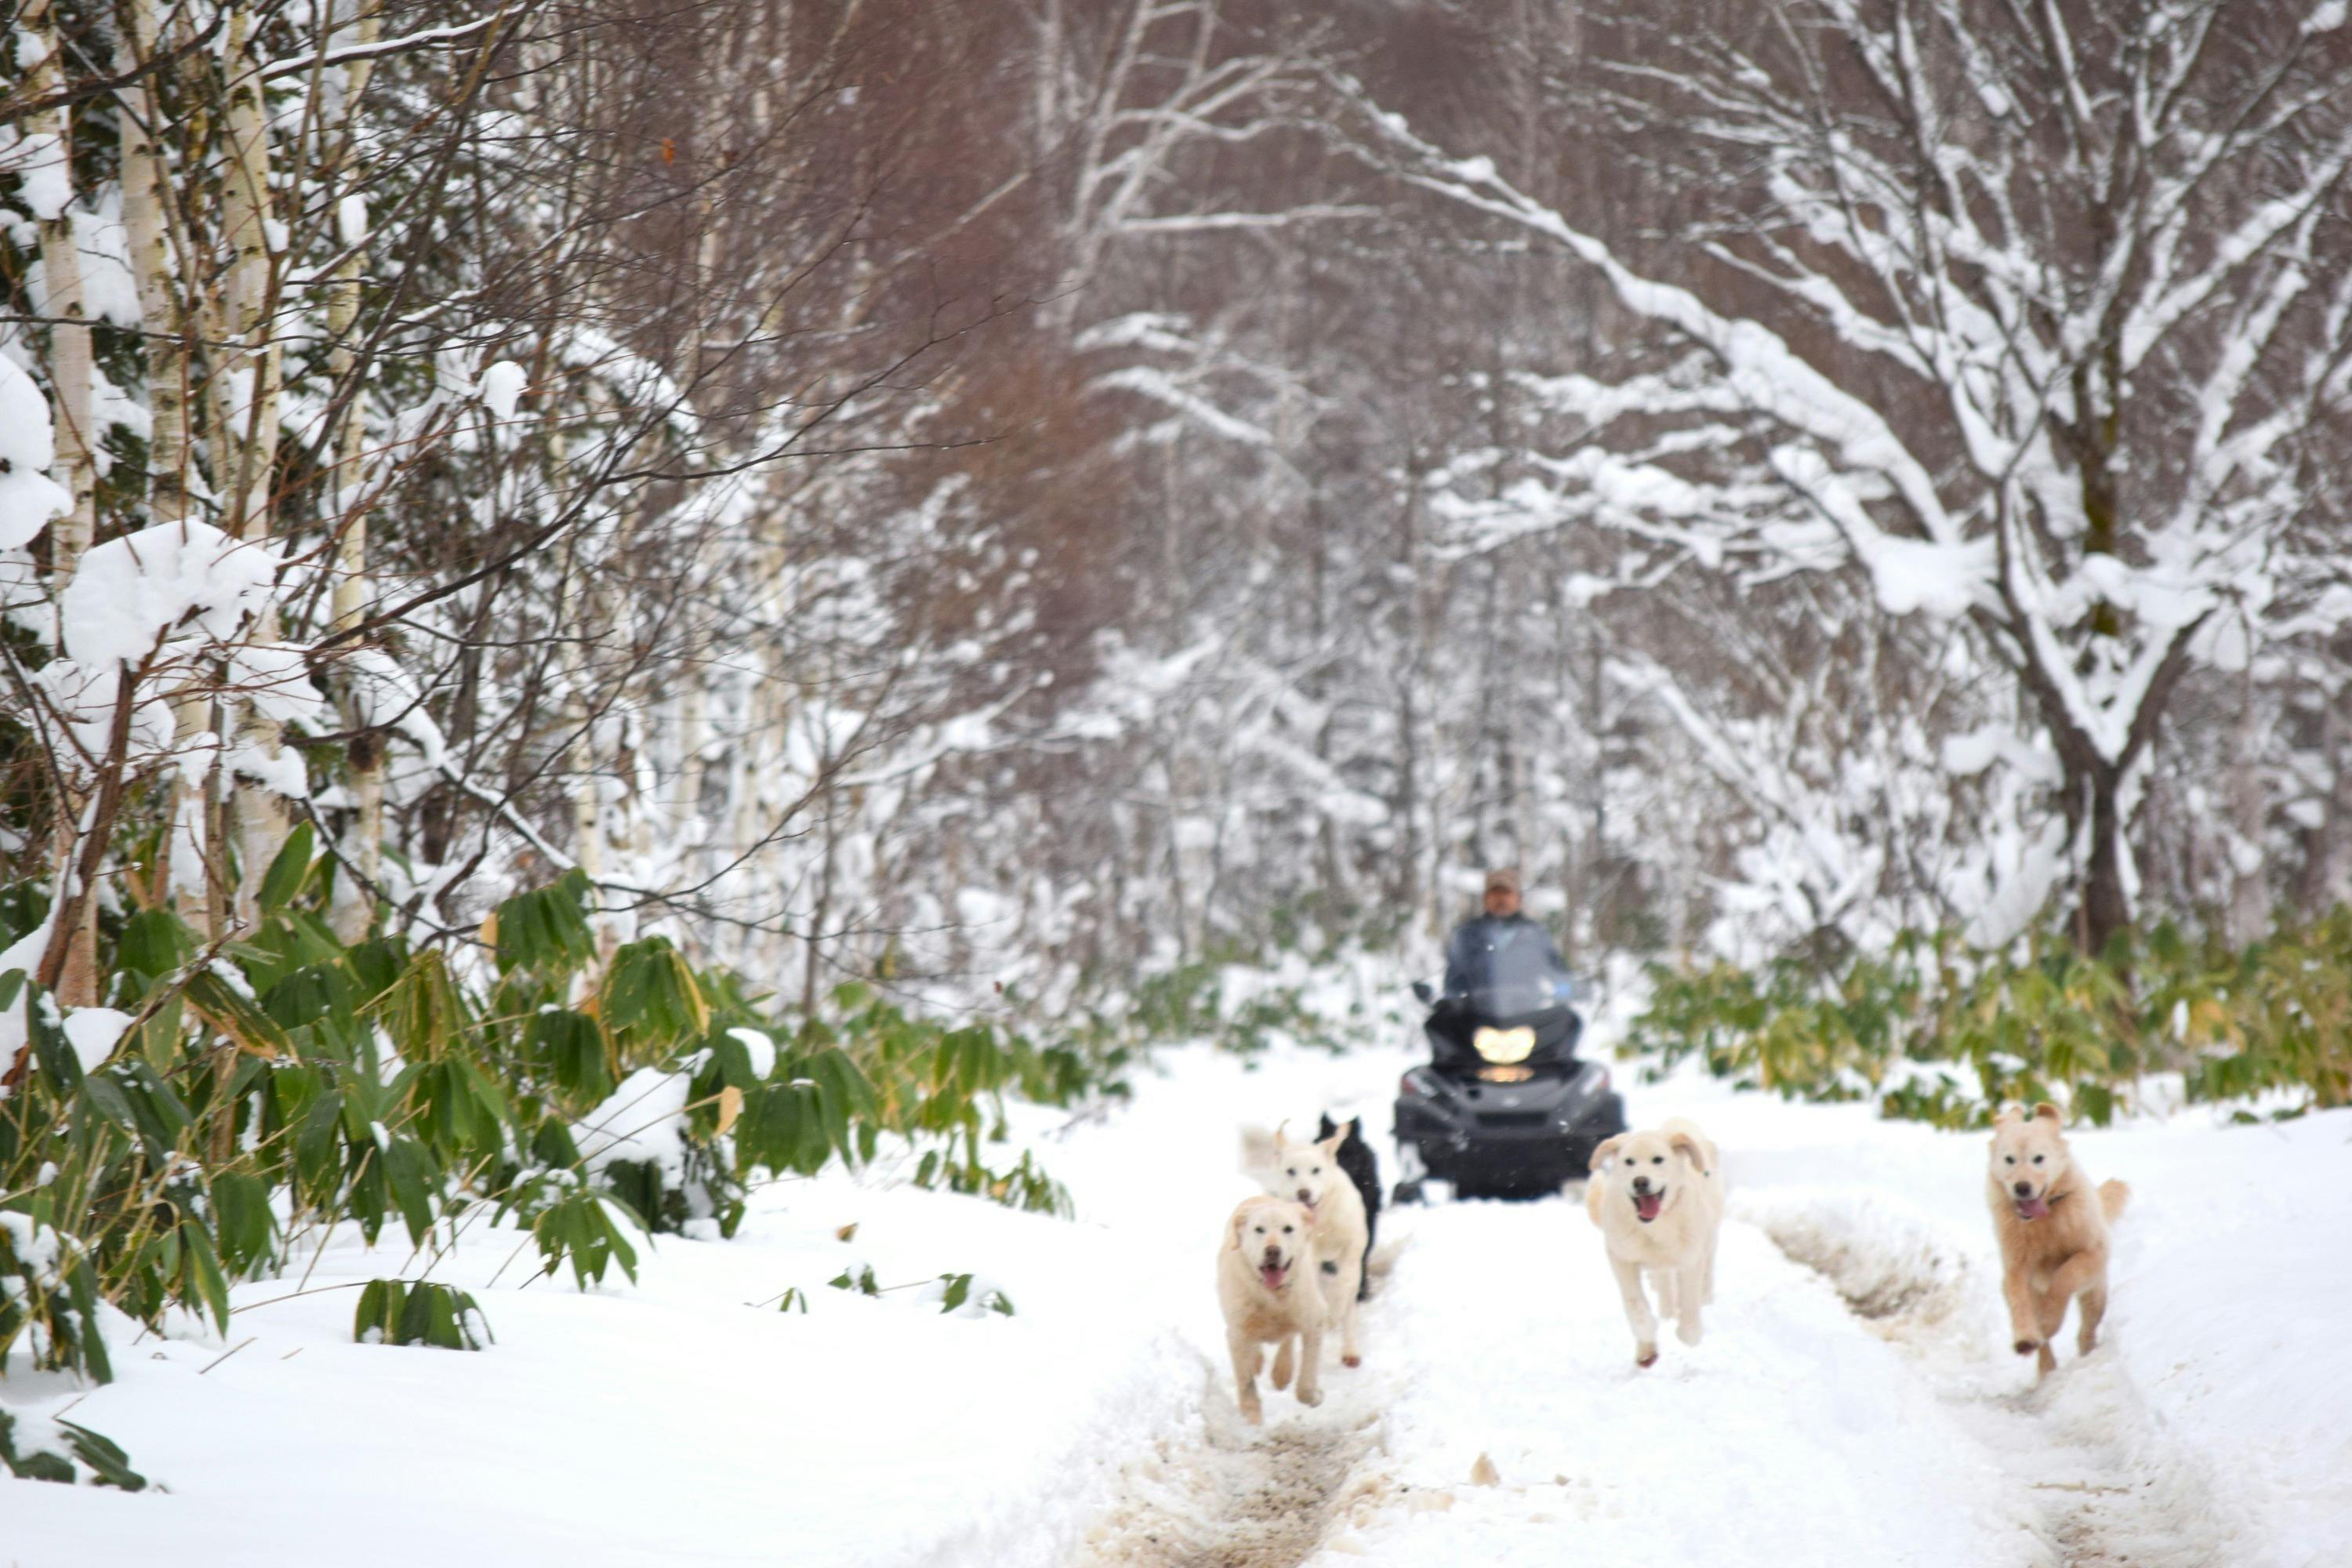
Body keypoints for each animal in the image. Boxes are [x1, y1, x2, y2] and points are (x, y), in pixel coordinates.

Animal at [1223, 1194, 1336, 1429]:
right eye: (1259, 1229)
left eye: (1288, 1229)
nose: (1272, 1251)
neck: (1273, 1296)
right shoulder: (1237, 1334)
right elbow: (1246, 1384)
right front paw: (1252, 1420)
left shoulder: (1315, 1320)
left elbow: (1306, 1381)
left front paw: (1315, 1396)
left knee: (1287, 1340)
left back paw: (1282, 1373)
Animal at [1581, 1123, 1731, 1363]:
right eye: (1629, 1161)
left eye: (1658, 1160)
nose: (1640, 1181)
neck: (1655, 1226)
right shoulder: (1621, 1257)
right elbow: (1635, 1304)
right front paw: (1647, 1340)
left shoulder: (1691, 1257)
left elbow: (1690, 1300)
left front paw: (1690, 1333)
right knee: (1665, 1287)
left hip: (1709, 1239)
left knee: (1704, 1276)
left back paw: (1702, 1299)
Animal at [1985, 1100, 2136, 1382]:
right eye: (2009, 1159)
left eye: (2038, 1158)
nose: (2022, 1188)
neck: (2045, 1219)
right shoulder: (2016, 1266)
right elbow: (2018, 1298)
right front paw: (2026, 1337)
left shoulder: (2092, 1253)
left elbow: (2064, 1277)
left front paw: (2049, 1320)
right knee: (2044, 1342)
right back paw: (2046, 1367)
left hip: (2095, 1294)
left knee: (2087, 1328)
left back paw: (2086, 1350)